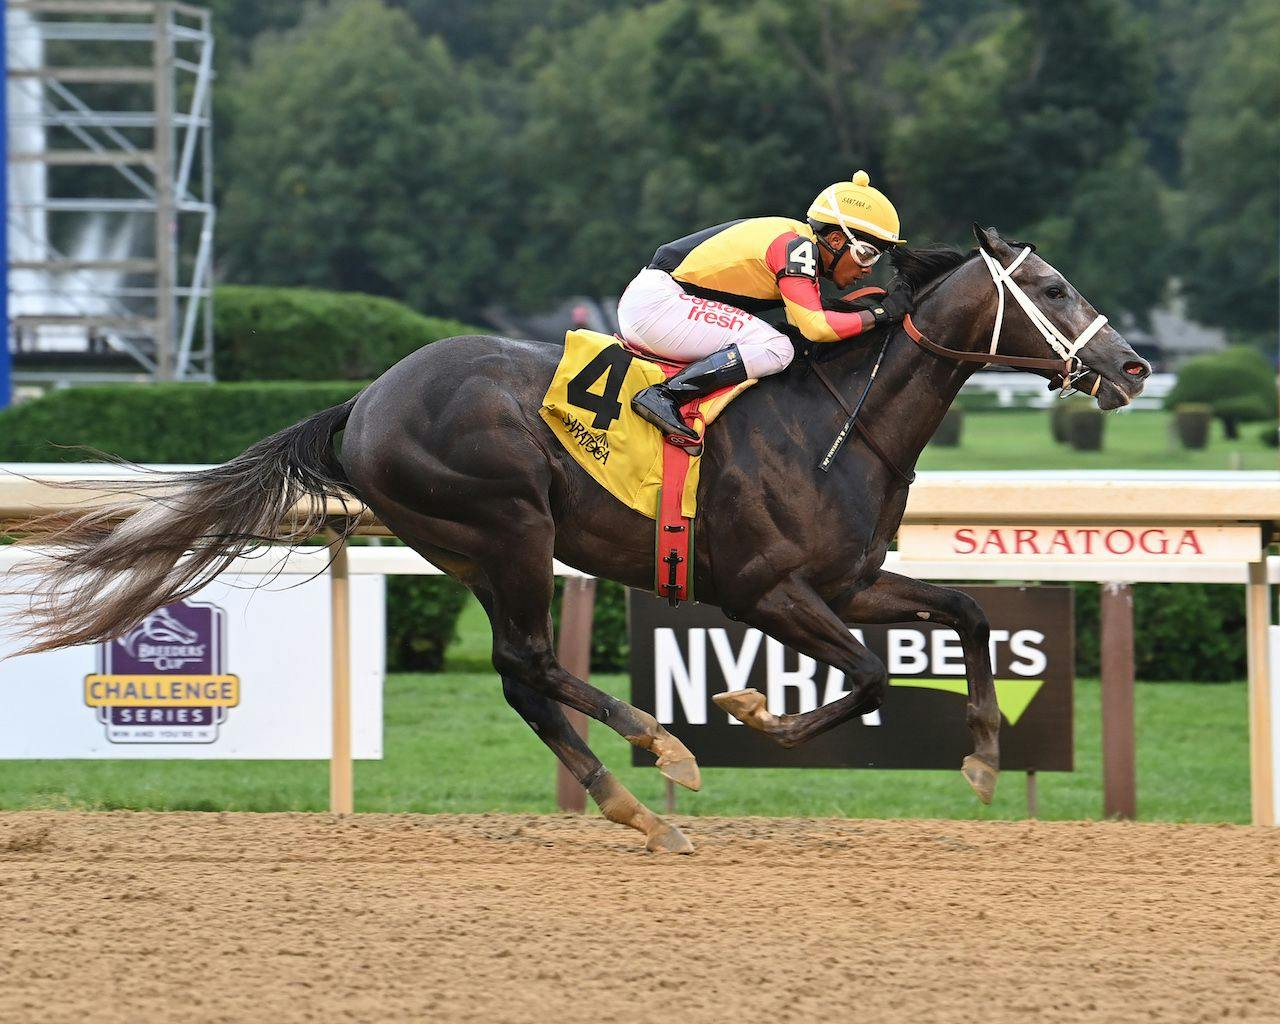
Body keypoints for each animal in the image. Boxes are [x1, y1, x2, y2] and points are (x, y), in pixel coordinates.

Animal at [7, 227, 1152, 849]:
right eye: (1051, 289)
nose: (1132, 367)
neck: (835, 417)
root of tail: (364, 400)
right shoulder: (766, 590)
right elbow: (869, 675)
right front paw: (741, 710)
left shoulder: (848, 580)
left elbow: (961, 612)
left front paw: (981, 757)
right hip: (507, 526)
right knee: (526, 662)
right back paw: (656, 747)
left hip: (471, 548)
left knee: (520, 676)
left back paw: (633, 800)